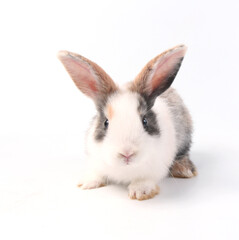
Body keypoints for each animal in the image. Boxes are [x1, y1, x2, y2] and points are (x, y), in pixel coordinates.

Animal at [58, 44, 196, 201]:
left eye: (144, 121)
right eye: (106, 123)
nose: (127, 153)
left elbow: (145, 179)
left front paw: (140, 192)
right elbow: (97, 172)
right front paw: (88, 183)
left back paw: (184, 170)